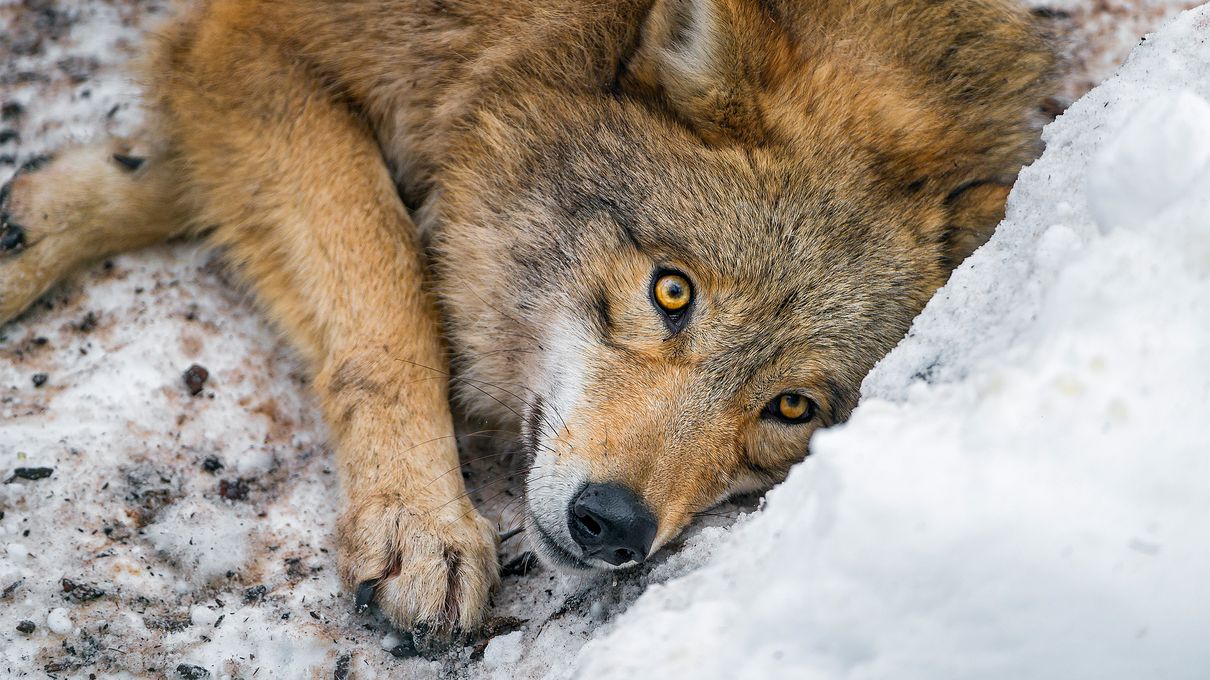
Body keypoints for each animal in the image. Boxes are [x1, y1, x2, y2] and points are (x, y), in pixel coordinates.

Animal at [0, 0, 1053, 634]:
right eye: (672, 291)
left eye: (791, 409)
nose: (613, 526)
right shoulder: (254, 45)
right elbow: (388, 278)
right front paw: (418, 522)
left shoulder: (233, 68)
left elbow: (183, 169)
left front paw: (33, 218)